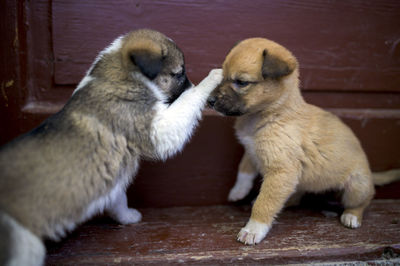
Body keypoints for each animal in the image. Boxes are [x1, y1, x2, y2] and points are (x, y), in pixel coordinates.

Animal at [209, 37, 400, 245]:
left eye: (241, 82)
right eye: (223, 76)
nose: (210, 101)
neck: (271, 113)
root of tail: (370, 174)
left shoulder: (281, 172)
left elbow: (264, 203)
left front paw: (253, 229)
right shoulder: (251, 151)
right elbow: (244, 170)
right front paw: (238, 191)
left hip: (356, 187)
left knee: (363, 201)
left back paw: (352, 216)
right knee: (294, 195)